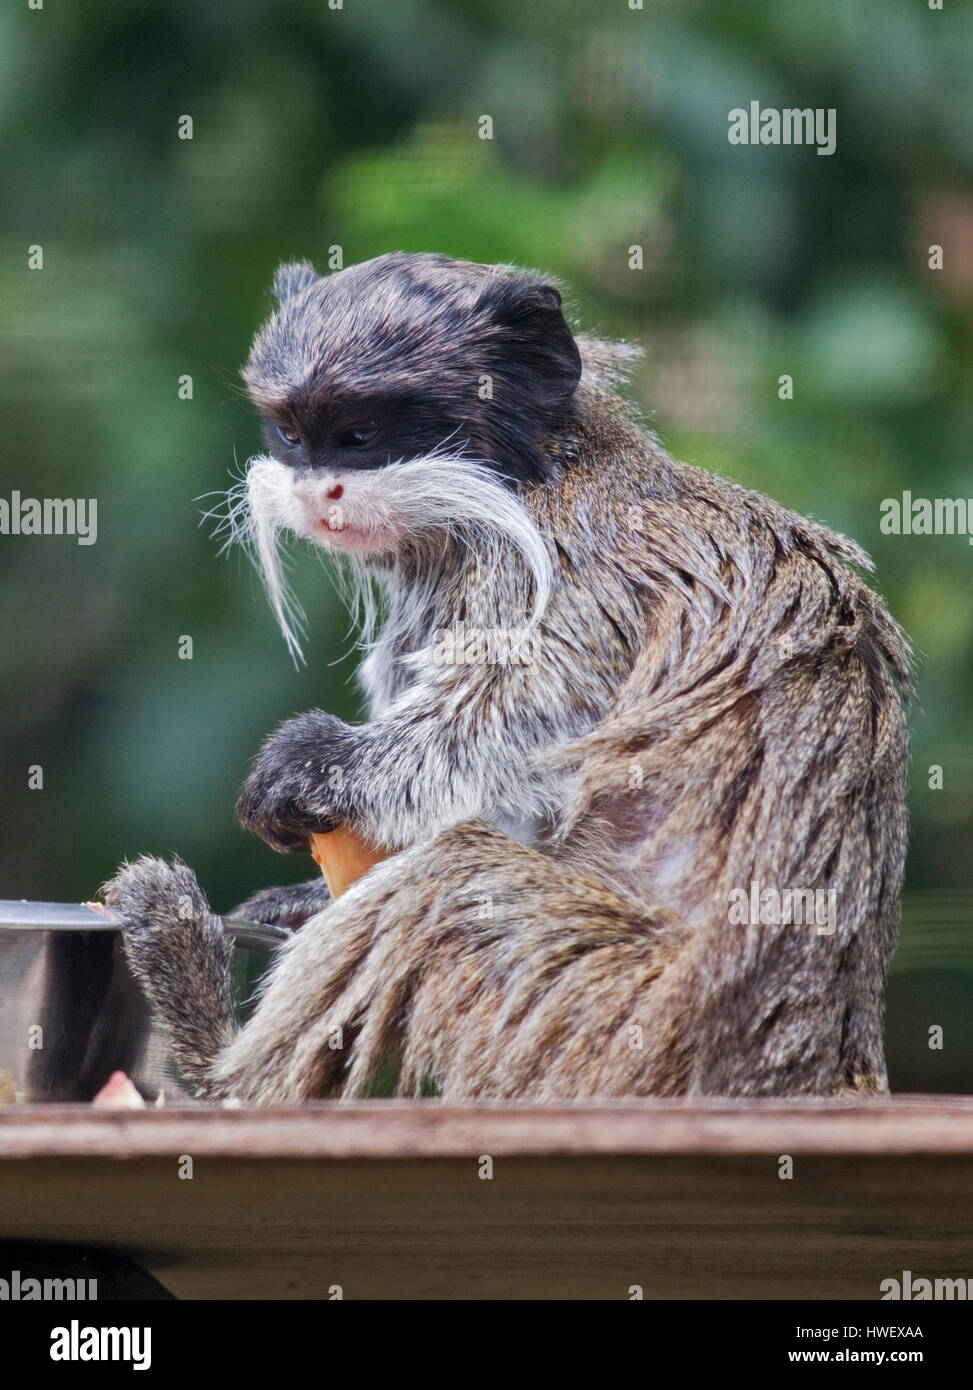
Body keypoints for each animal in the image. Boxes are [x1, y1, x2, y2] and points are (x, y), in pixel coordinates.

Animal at [102, 247, 917, 1095]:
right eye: (292, 436)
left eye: (360, 435)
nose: (318, 494)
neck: (523, 481)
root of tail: (824, 1053)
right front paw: (298, 894)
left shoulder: (566, 568)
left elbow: (510, 725)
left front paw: (313, 763)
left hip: (632, 1030)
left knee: (451, 876)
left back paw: (207, 1049)